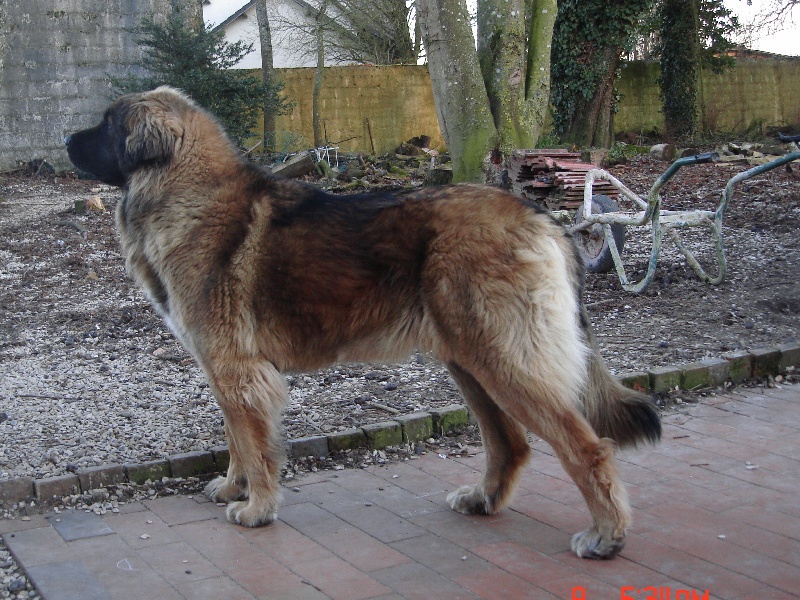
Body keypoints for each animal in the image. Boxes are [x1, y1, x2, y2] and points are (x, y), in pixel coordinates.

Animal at [65, 86, 660, 560]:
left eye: (107, 125)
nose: (67, 140)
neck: (182, 189)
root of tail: (538, 215)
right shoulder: (223, 367)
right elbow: (235, 437)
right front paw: (233, 488)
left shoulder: (236, 366)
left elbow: (254, 444)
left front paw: (257, 508)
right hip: (470, 359)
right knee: (510, 443)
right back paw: (483, 500)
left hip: (504, 359)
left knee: (585, 446)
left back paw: (606, 535)